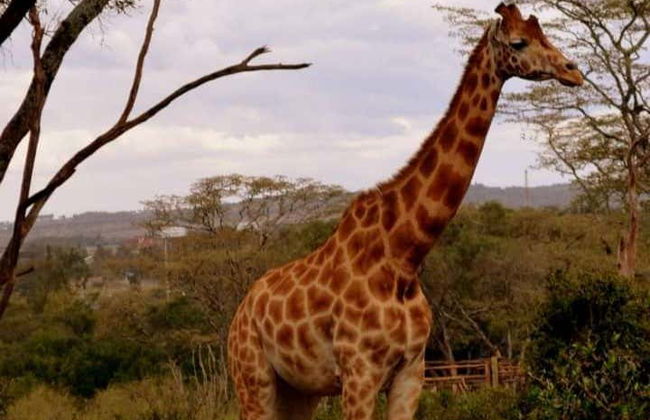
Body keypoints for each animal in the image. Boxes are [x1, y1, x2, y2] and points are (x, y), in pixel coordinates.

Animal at [228, 3, 583, 419]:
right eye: (519, 42)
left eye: (545, 35)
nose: (573, 71)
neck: (405, 256)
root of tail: (241, 311)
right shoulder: (360, 373)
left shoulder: (412, 370)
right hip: (253, 377)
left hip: (300, 389)